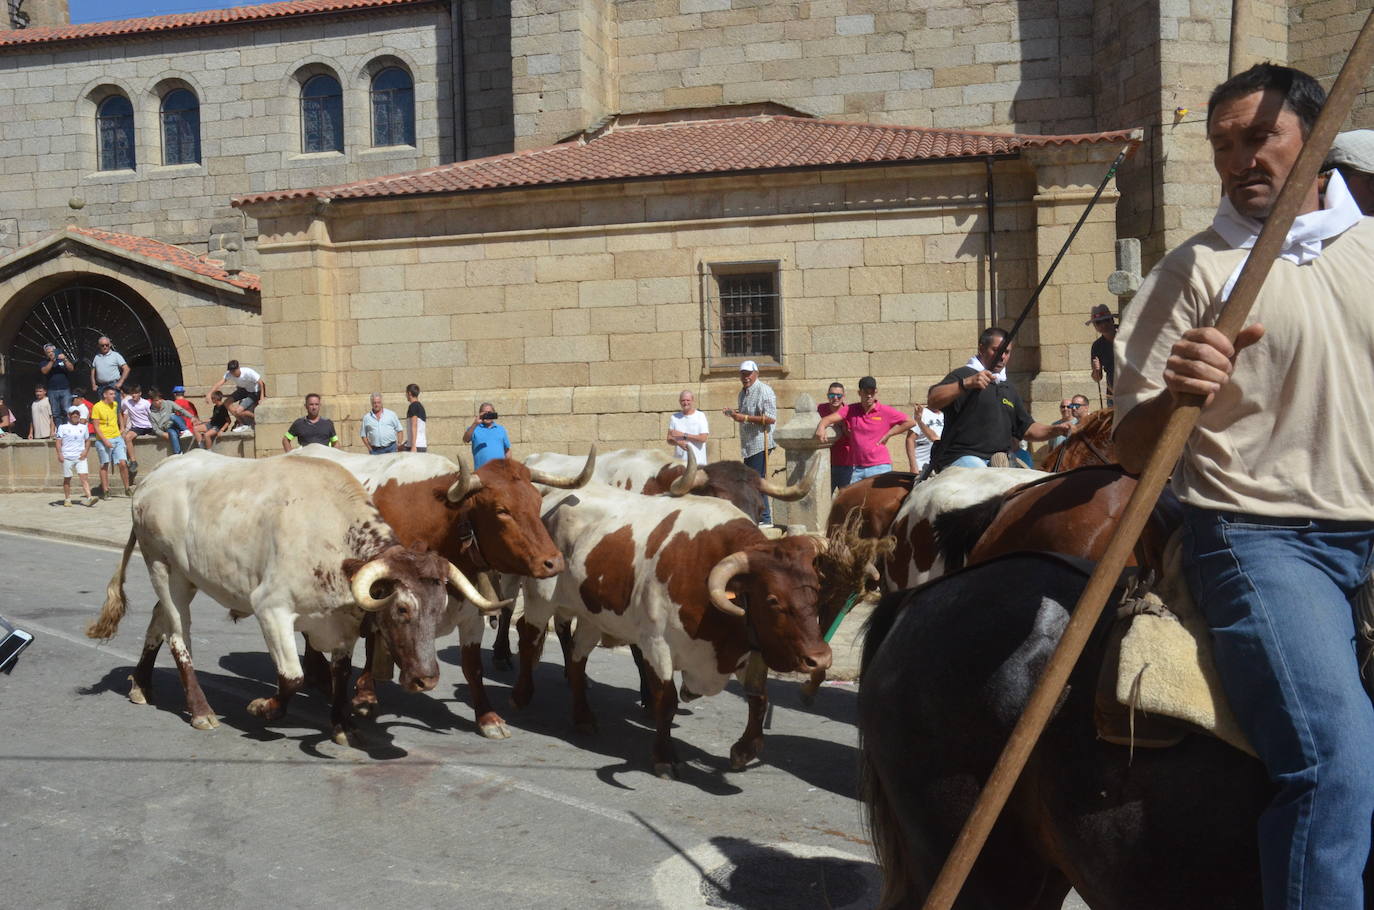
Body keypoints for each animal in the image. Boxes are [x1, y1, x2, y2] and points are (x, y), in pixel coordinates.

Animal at [80, 453, 502, 747]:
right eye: (401, 609)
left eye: (438, 609)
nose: (427, 679)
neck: (331, 538)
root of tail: (160, 470)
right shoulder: (271, 610)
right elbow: (292, 676)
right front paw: (263, 708)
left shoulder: (343, 624)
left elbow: (340, 675)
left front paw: (343, 725)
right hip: (162, 568)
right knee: (178, 636)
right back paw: (200, 710)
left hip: (185, 576)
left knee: (158, 622)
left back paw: (140, 685)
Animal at [287, 442, 593, 742]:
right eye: (502, 510)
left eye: (537, 502)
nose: (554, 562)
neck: (441, 524)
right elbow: (374, 643)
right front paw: (365, 696)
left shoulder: (470, 612)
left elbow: (473, 666)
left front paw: (488, 717)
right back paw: (320, 675)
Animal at [505, 483, 829, 775]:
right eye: (772, 600)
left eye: (816, 591)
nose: (819, 658)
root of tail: (553, 498)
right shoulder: (656, 645)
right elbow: (666, 700)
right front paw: (663, 756)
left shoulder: (745, 651)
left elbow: (759, 698)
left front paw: (744, 750)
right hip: (540, 598)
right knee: (527, 636)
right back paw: (521, 696)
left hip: (592, 617)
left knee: (576, 658)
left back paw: (583, 716)